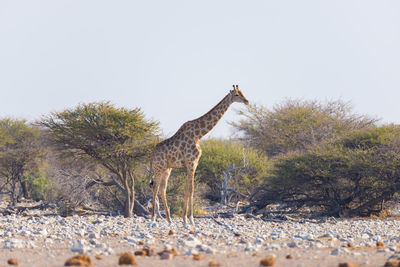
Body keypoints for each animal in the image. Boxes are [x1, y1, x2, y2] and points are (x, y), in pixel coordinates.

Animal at [151, 85, 250, 225]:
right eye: (236, 95)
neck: (199, 135)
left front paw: (185, 219)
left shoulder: (195, 162)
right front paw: (190, 219)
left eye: (242, 92)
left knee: (162, 189)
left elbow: (188, 189)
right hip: (158, 168)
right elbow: (190, 189)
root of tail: (152, 154)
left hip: (167, 169)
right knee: (155, 188)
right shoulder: (191, 162)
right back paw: (153, 218)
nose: (247, 101)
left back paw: (169, 220)